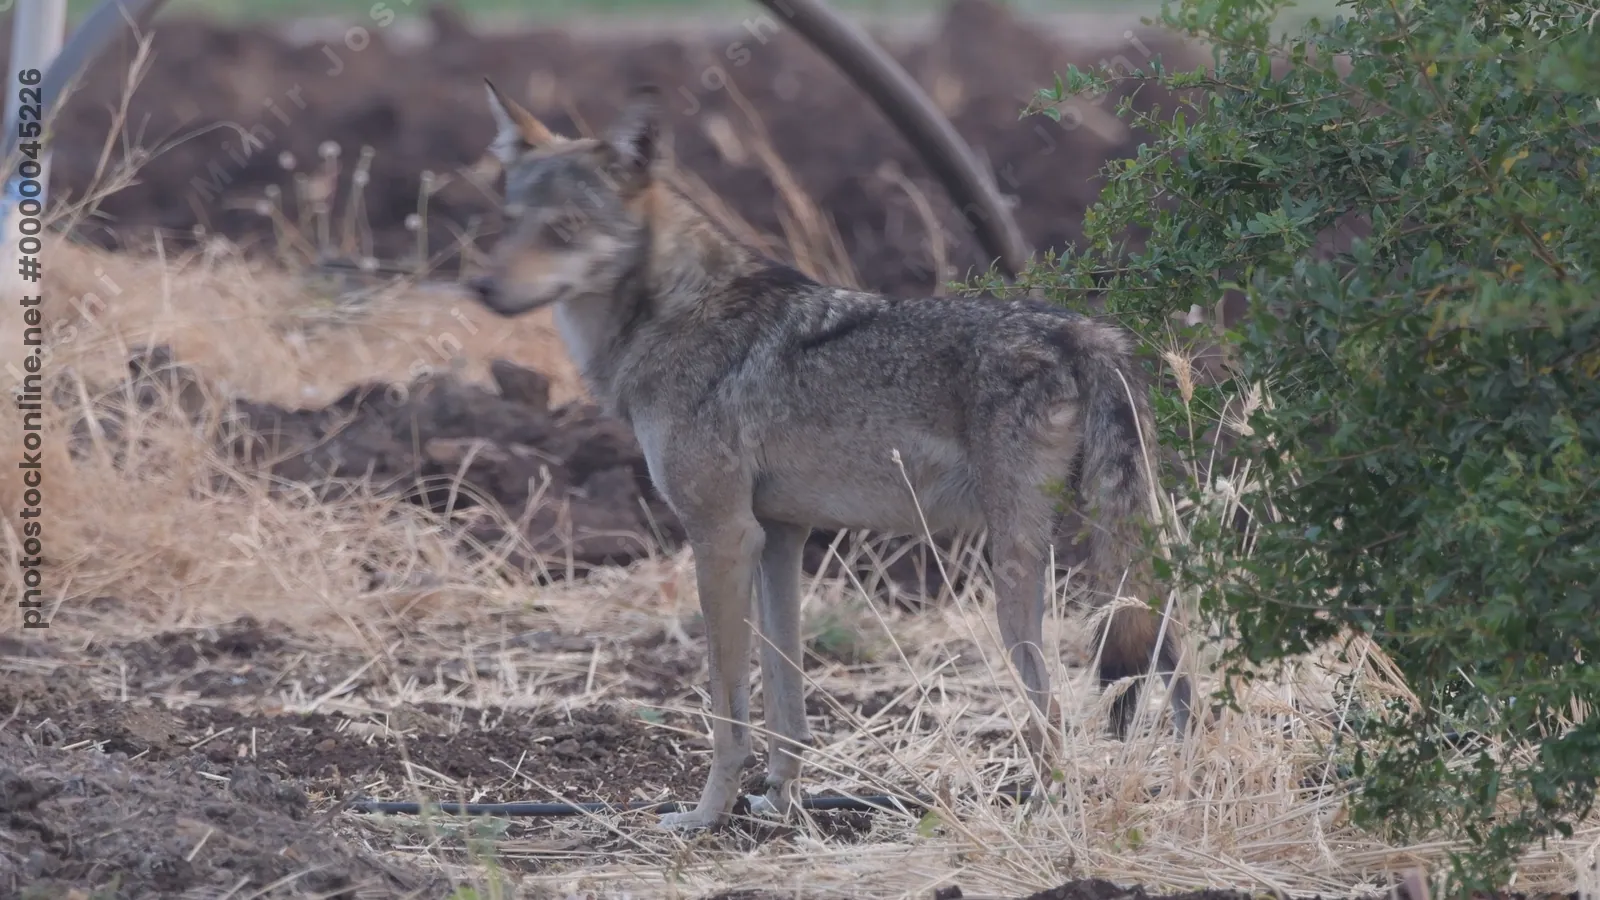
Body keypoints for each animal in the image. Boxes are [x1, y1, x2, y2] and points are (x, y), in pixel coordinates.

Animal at [469, 79, 1193, 831]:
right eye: (510, 222)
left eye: (564, 228)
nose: (482, 288)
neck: (673, 314)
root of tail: (1086, 331)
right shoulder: (780, 538)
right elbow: (786, 700)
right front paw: (780, 803)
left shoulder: (722, 537)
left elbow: (728, 709)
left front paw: (704, 817)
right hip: (1129, 562)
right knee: (1177, 673)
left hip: (1022, 574)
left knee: (1050, 711)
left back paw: (1043, 816)